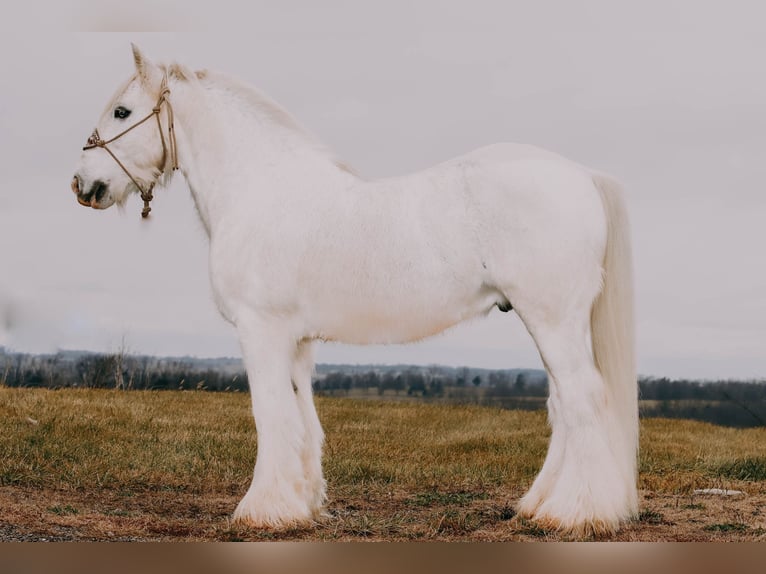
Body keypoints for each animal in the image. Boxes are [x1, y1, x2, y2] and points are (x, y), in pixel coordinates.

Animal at [72, 46, 640, 540]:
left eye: (122, 110)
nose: (82, 184)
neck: (260, 189)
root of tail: (581, 175)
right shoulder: (297, 340)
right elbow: (302, 419)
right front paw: (301, 504)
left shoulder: (261, 330)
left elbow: (270, 415)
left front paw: (261, 511)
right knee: (563, 404)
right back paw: (538, 507)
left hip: (551, 318)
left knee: (582, 399)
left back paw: (577, 514)